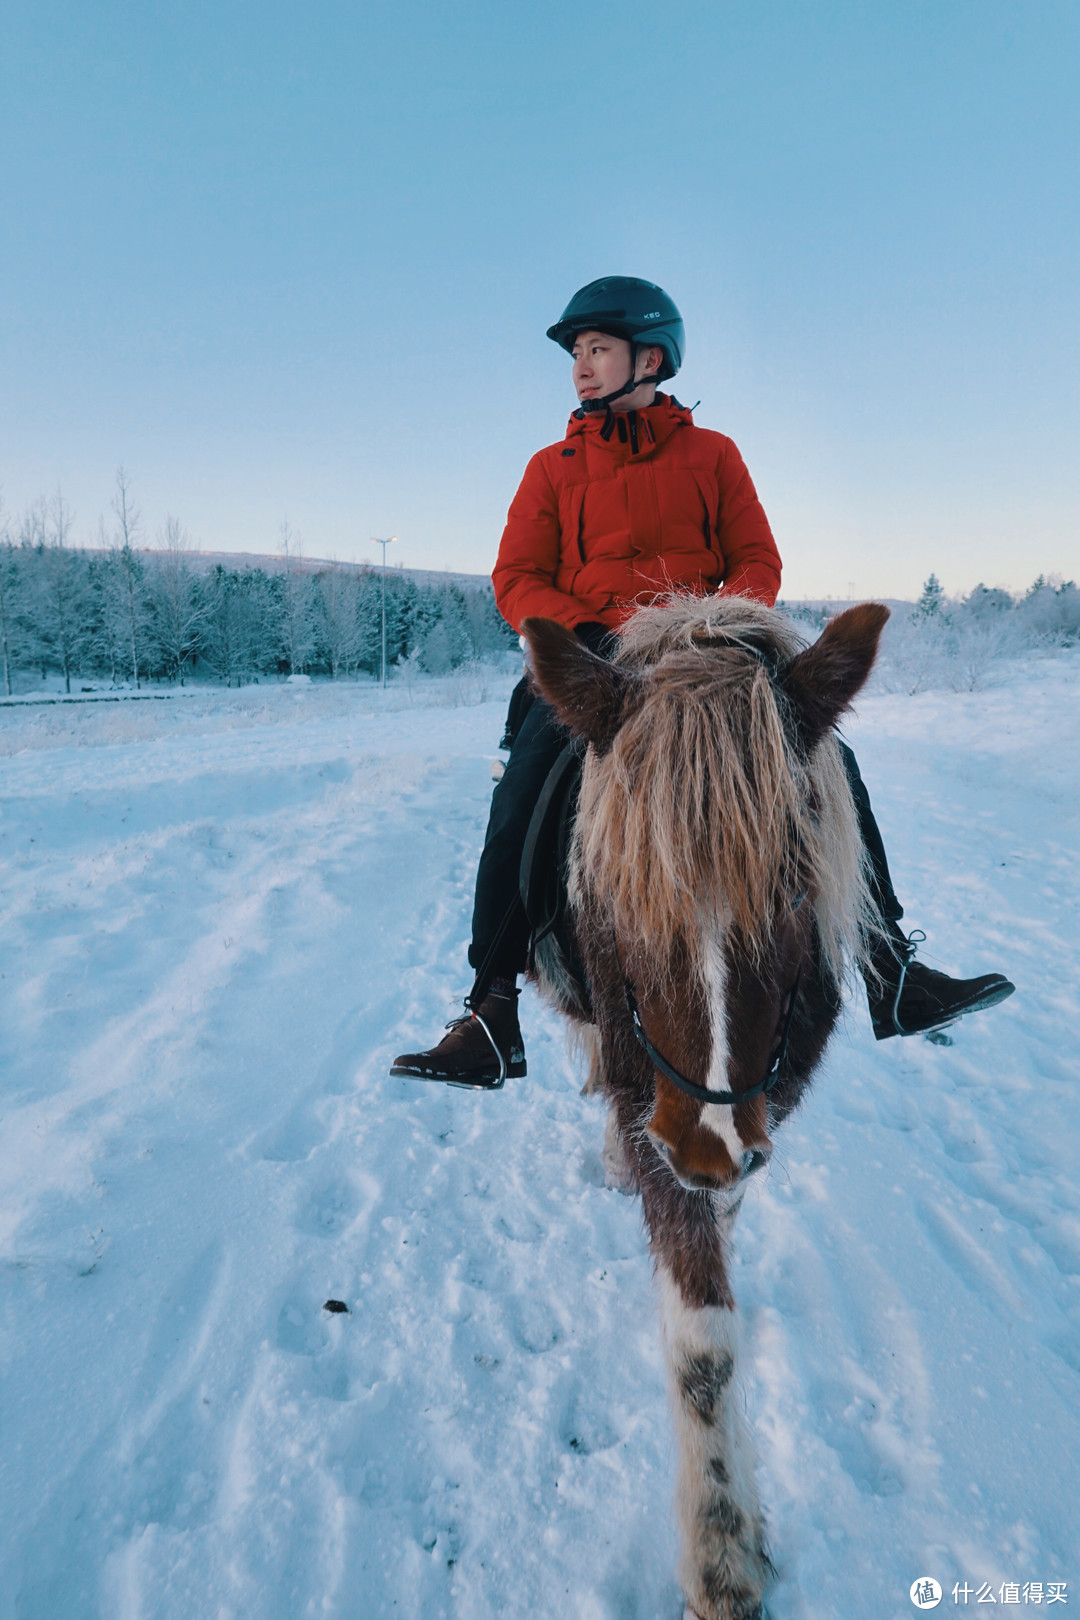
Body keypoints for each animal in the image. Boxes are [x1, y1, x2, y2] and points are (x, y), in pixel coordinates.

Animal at [521, 596, 887, 1620]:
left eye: (795, 888)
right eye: (619, 891)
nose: (711, 1147)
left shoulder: (758, 1108)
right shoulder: (661, 1115)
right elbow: (700, 1342)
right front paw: (721, 1555)